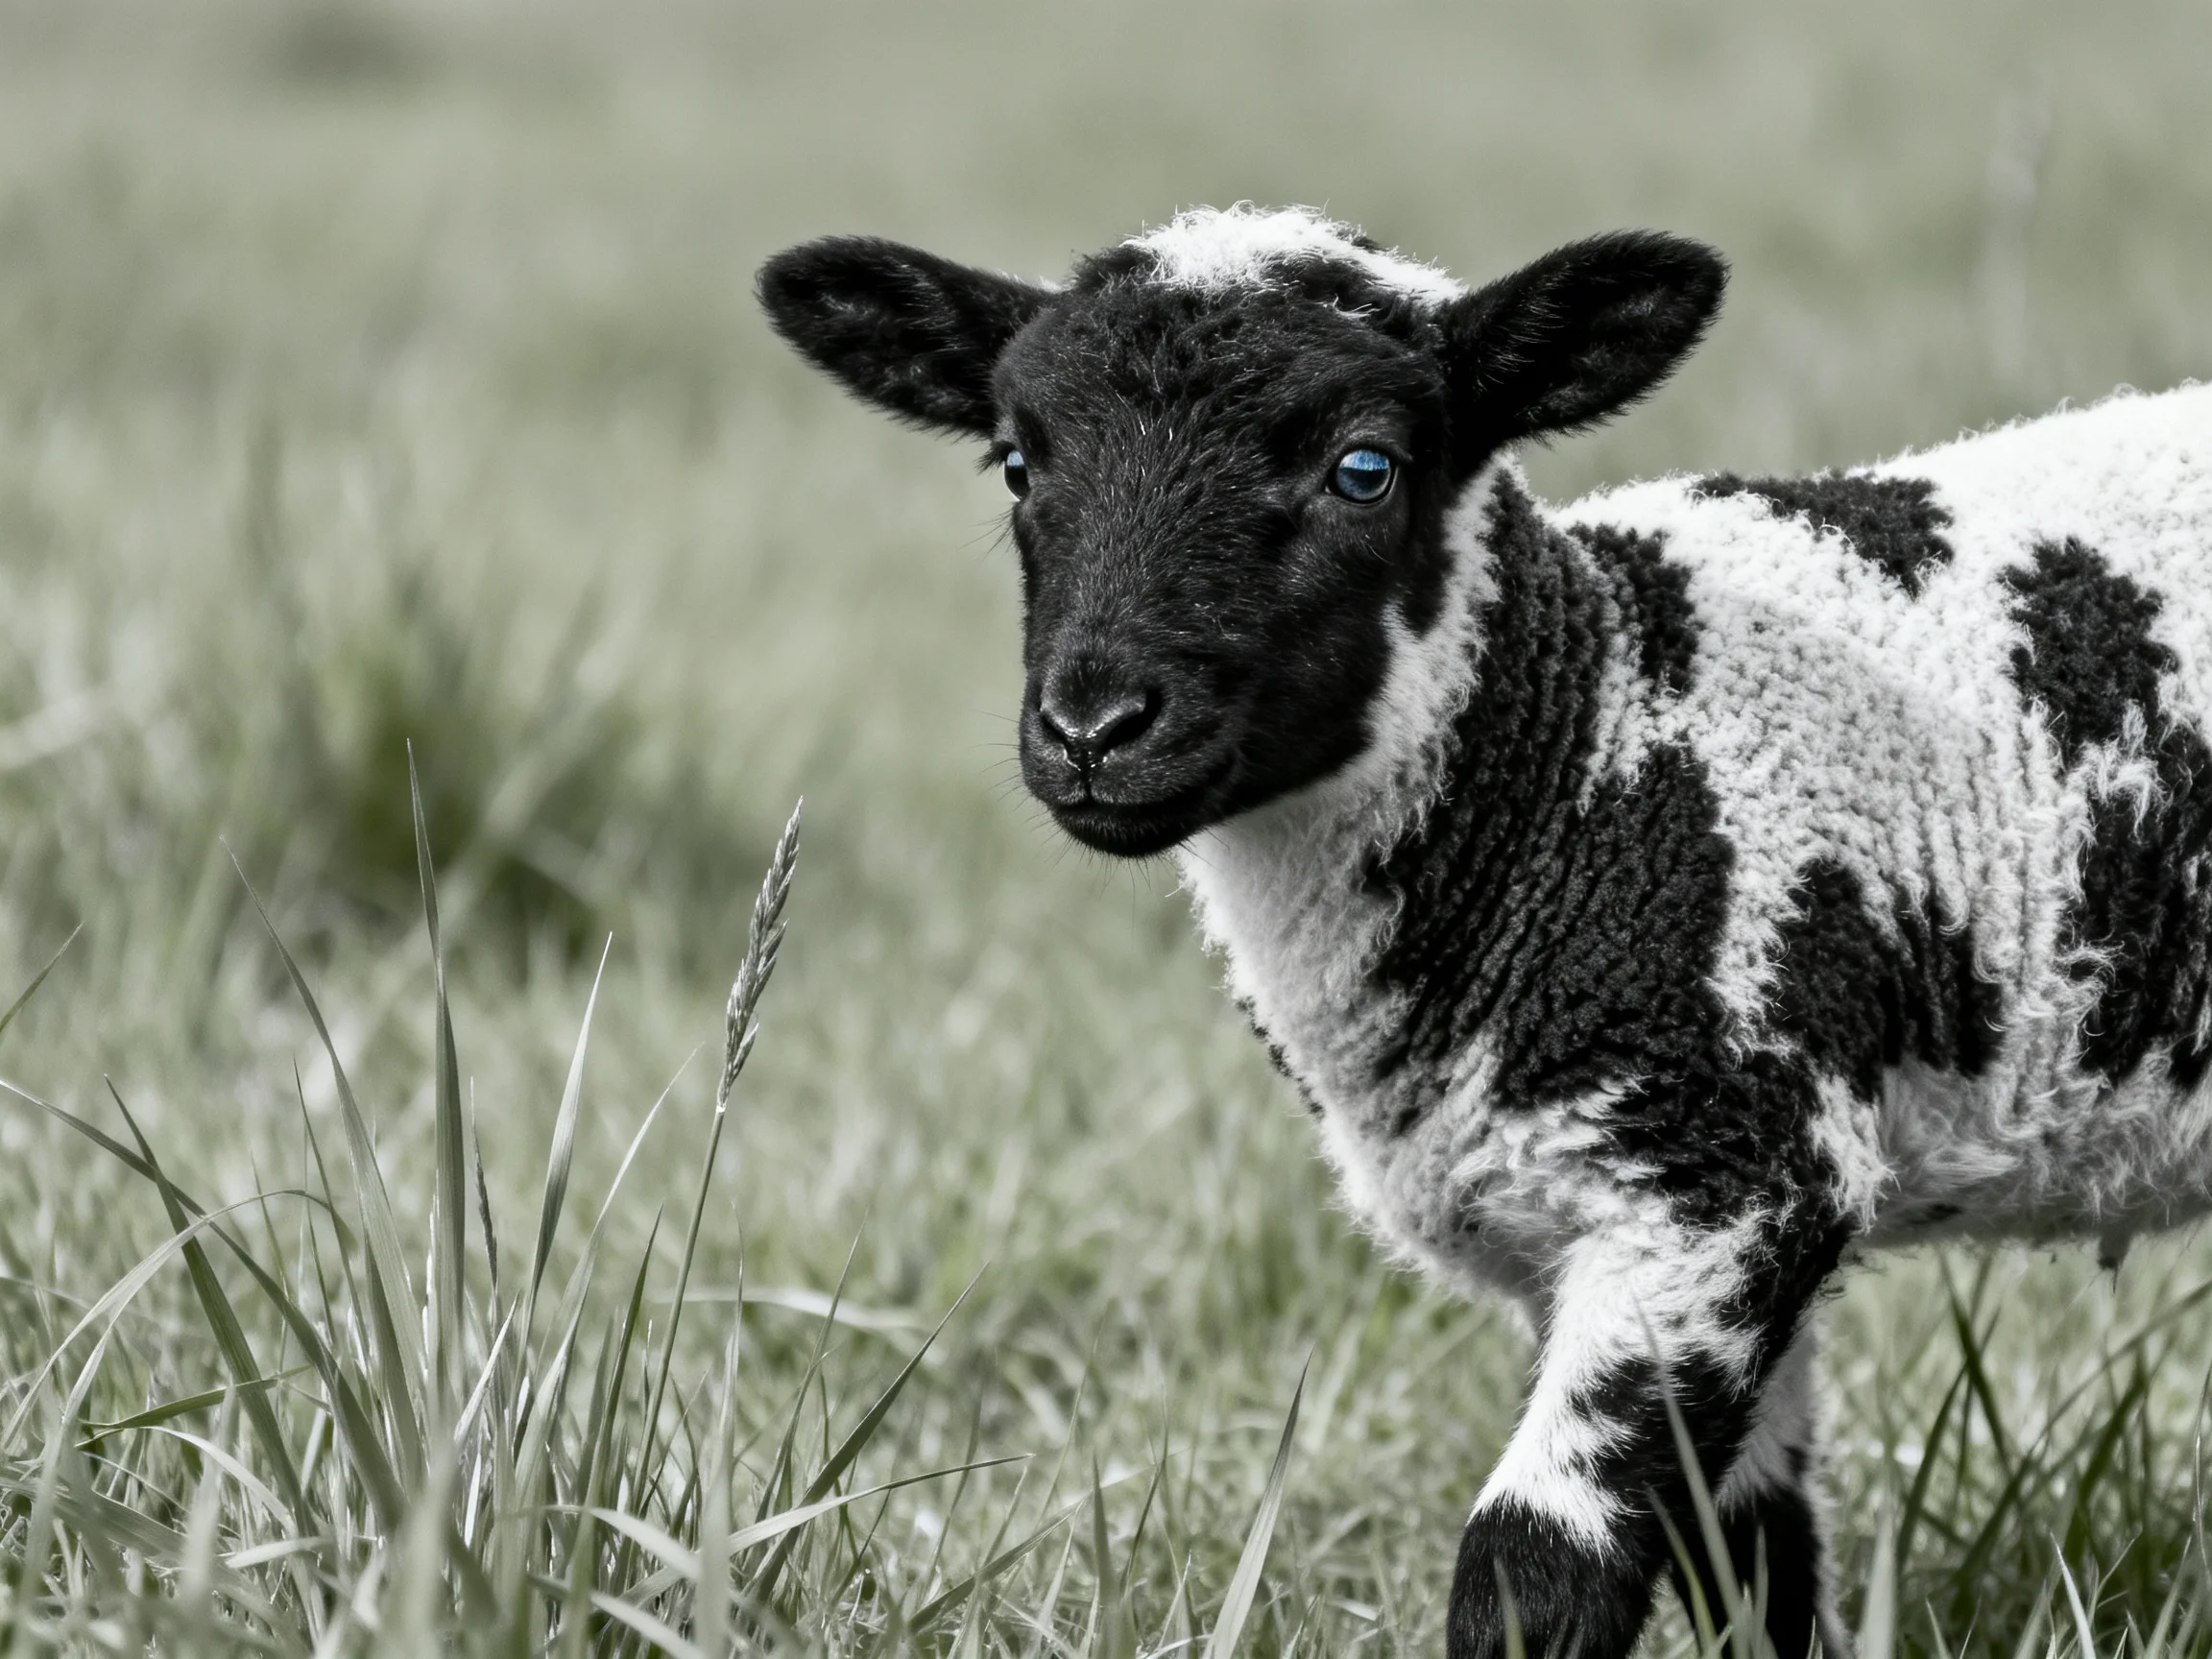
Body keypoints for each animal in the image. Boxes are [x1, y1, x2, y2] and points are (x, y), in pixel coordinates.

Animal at [757, 203, 2212, 1659]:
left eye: (1365, 468)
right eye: (1017, 462)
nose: (1095, 729)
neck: (1583, 751)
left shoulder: (1727, 1178)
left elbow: (1533, 1574)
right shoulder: (1661, 1222)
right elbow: (1752, 1561)